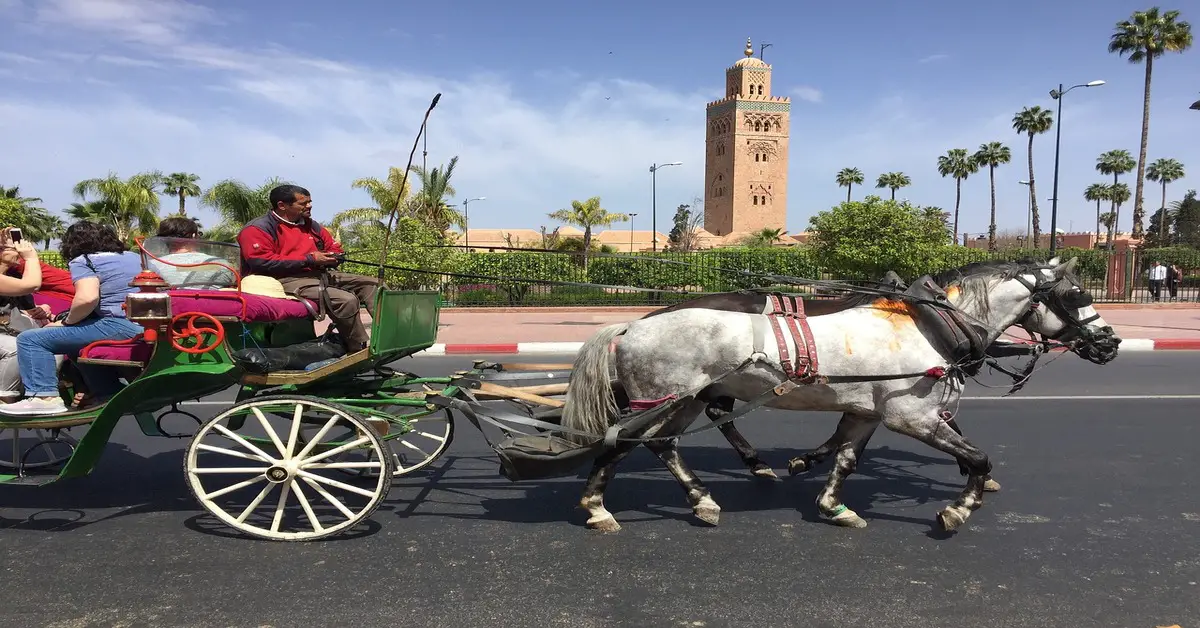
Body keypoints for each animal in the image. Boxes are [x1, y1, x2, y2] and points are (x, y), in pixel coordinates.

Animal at [556, 258, 1118, 533]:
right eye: (1075, 294)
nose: (1109, 341)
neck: (932, 326)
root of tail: (631, 324)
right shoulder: (911, 415)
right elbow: (978, 457)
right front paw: (958, 510)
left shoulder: (866, 413)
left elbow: (846, 459)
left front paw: (832, 504)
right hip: (667, 398)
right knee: (626, 444)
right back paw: (599, 508)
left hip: (686, 400)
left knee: (661, 445)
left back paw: (702, 499)